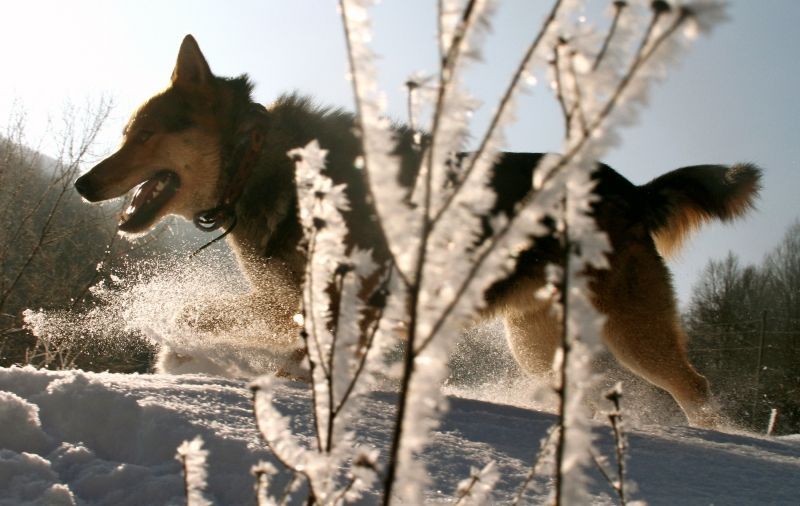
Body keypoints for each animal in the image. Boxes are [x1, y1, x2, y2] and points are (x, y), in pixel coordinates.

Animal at [72, 34, 760, 426]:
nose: (81, 184)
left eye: (143, 133)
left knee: (696, 389)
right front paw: (182, 355)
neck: (261, 163)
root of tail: (631, 187)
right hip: (534, 344)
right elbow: (197, 314)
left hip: (632, 334)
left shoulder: (348, 303)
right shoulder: (290, 301)